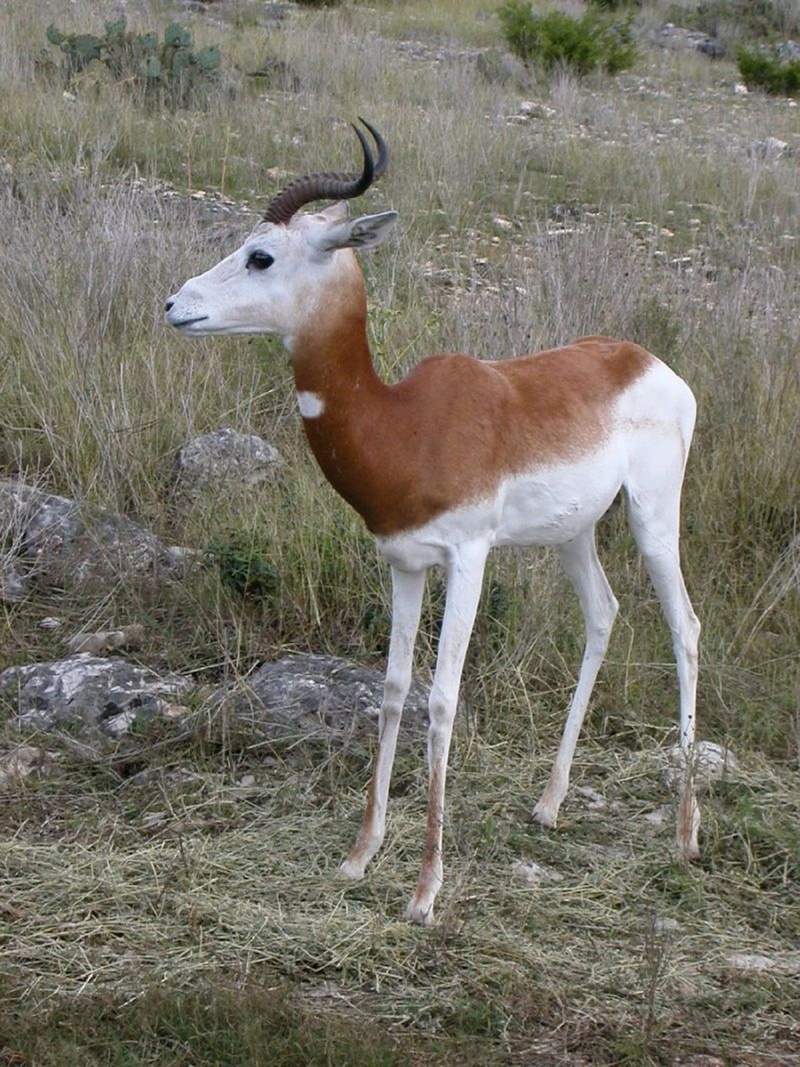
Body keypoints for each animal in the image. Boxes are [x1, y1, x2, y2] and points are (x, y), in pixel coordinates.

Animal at [166, 120, 701, 924]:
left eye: (262, 255)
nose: (175, 304)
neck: (406, 424)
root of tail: (652, 363)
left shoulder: (469, 558)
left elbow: (444, 698)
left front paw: (425, 889)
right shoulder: (403, 561)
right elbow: (393, 688)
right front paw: (359, 855)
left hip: (652, 517)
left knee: (684, 628)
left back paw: (685, 834)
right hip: (574, 533)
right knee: (603, 613)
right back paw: (548, 805)